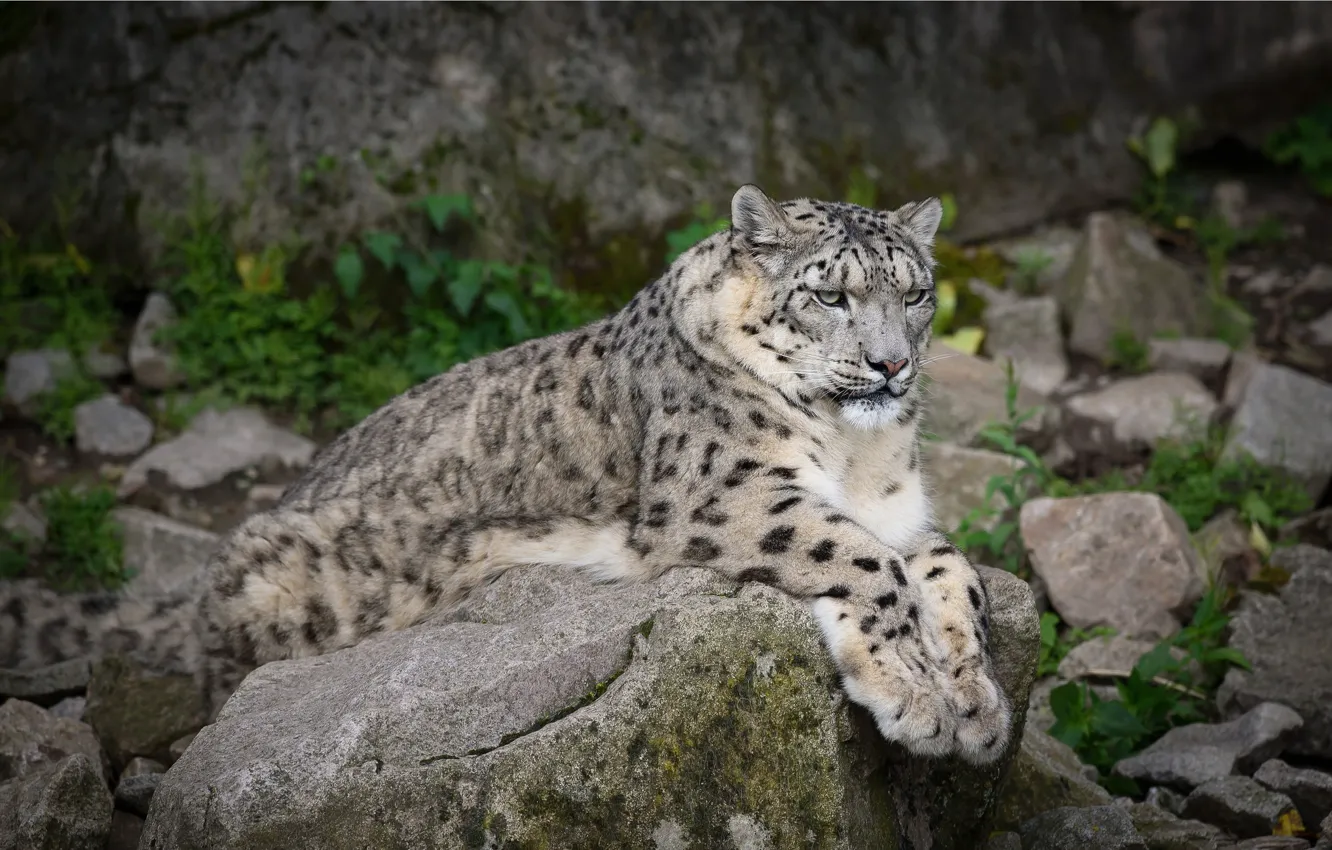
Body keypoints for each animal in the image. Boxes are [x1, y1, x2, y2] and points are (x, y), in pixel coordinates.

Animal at [0, 184, 1012, 764]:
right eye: (829, 292)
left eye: (916, 292)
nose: (890, 365)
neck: (857, 449)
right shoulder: (724, 491)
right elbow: (863, 560)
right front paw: (918, 697)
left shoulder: (903, 511)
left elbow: (948, 567)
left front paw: (976, 701)